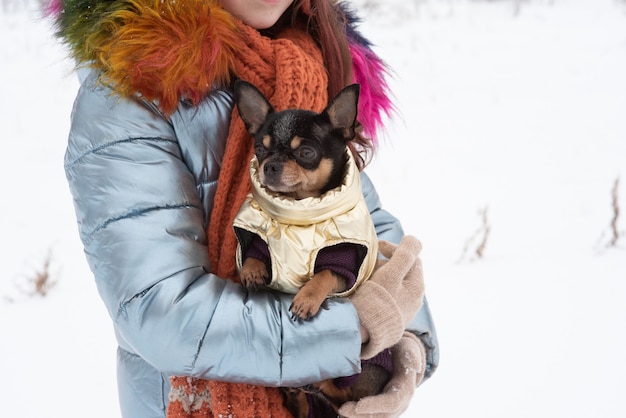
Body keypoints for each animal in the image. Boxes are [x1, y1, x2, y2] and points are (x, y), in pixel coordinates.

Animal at [232, 81, 390, 418]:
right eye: (260, 149)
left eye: (306, 153)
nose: (270, 165)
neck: (299, 211)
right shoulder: (263, 241)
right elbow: (256, 250)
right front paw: (252, 271)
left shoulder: (345, 265)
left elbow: (324, 275)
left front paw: (306, 299)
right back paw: (298, 392)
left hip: (364, 372)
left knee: (346, 397)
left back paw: (319, 385)